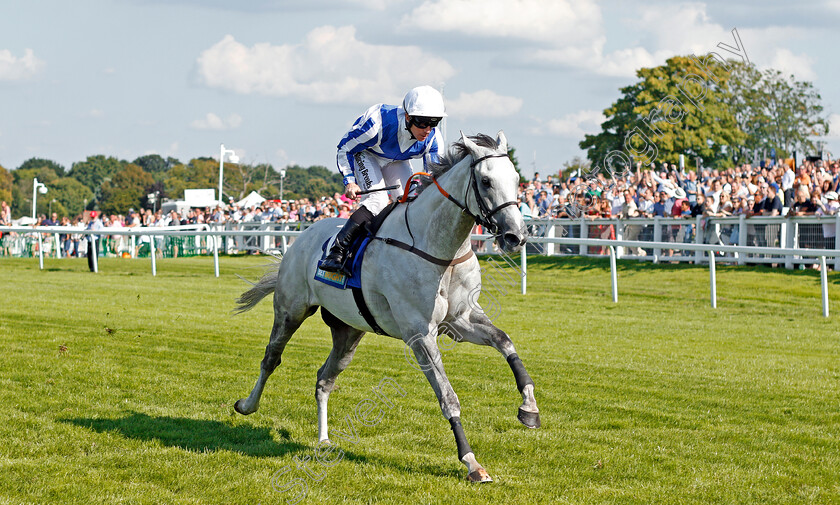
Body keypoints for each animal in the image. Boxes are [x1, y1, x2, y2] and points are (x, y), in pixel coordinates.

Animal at [233, 132, 540, 482]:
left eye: (516, 180)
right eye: (486, 181)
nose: (516, 236)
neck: (438, 250)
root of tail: (302, 236)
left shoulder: (460, 321)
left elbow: (505, 341)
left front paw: (529, 408)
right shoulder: (420, 334)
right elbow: (448, 397)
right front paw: (472, 462)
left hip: (348, 331)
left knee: (325, 378)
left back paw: (323, 439)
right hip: (290, 310)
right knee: (272, 357)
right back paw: (247, 405)